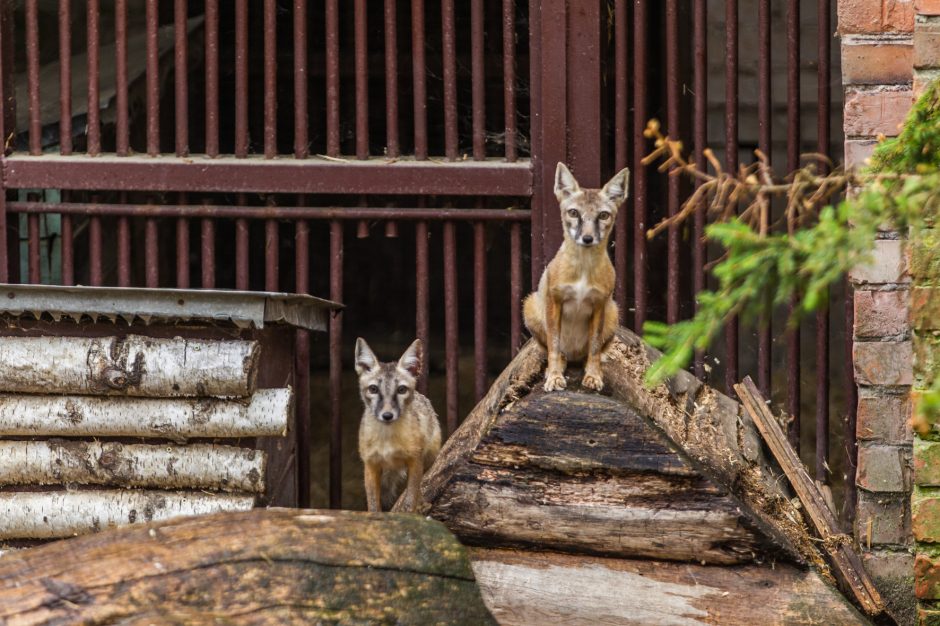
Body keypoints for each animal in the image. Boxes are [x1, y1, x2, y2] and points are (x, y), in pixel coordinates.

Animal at [354, 338, 442, 510]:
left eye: (401, 390)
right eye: (373, 389)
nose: (387, 415)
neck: (388, 438)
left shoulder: (415, 461)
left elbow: (410, 501)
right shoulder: (370, 465)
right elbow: (373, 506)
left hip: (428, 459)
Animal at [520, 163, 632, 392]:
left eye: (603, 215)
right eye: (573, 213)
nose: (587, 238)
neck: (583, 270)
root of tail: (573, 355)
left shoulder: (599, 304)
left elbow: (595, 348)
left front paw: (593, 375)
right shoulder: (554, 301)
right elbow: (554, 346)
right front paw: (554, 376)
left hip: (613, 313)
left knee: (590, 354)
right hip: (530, 307)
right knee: (555, 351)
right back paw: (557, 366)